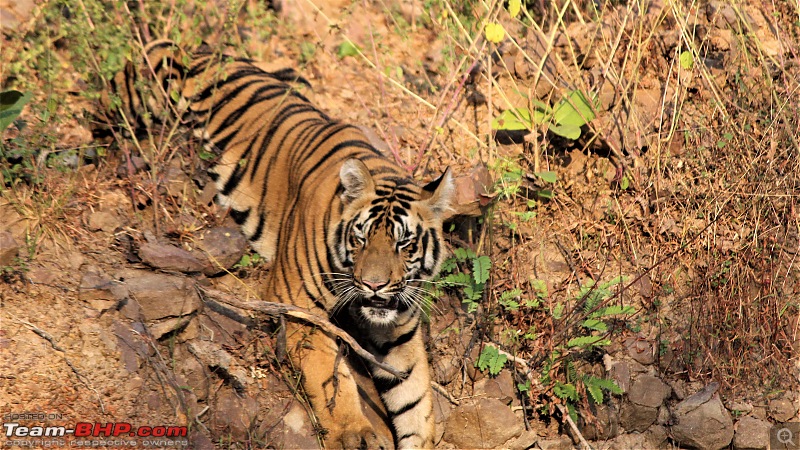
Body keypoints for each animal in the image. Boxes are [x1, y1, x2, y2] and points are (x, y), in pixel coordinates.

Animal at [104, 40, 456, 448]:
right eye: (361, 237)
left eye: (404, 244)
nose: (373, 285)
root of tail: (183, 44)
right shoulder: (298, 306)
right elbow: (330, 377)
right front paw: (354, 433)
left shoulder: (398, 328)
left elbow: (415, 398)